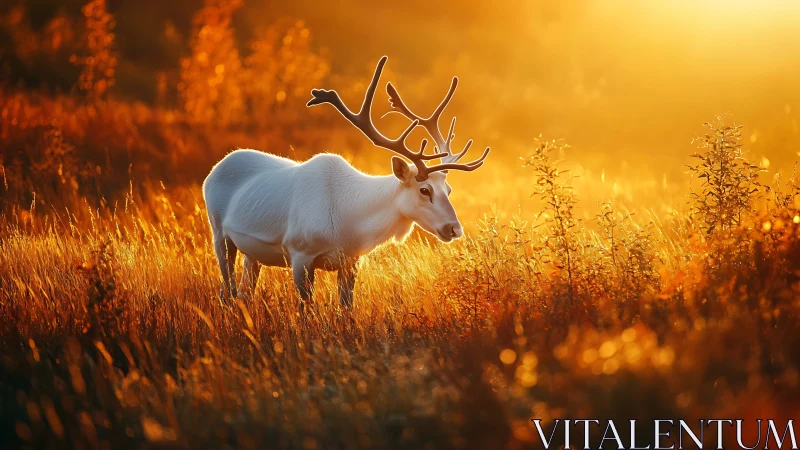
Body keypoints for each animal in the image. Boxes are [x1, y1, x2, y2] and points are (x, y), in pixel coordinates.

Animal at [202, 56, 490, 310]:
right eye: (424, 189)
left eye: (448, 189)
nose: (454, 228)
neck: (351, 222)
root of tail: (215, 169)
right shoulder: (300, 255)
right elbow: (307, 311)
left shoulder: (351, 261)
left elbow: (347, 309)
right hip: (220, 236)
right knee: (226, 291)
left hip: (252, 255)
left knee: (243, 293)